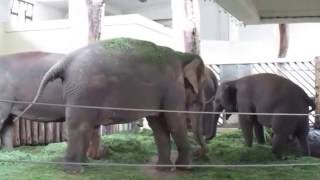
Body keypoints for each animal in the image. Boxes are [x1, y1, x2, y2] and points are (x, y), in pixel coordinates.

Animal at [15, 37, 208, 172]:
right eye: (203, 87)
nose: (201, 153)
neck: (182, 55)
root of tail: (64, 62)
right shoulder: (173, 86)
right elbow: (175, 120)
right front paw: (186, 168)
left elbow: (158, 125)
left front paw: (165, 170)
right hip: (84, 90)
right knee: (80, 124)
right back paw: (75, 171)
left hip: (80, 91)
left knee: (84, 125)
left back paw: (85, 165)